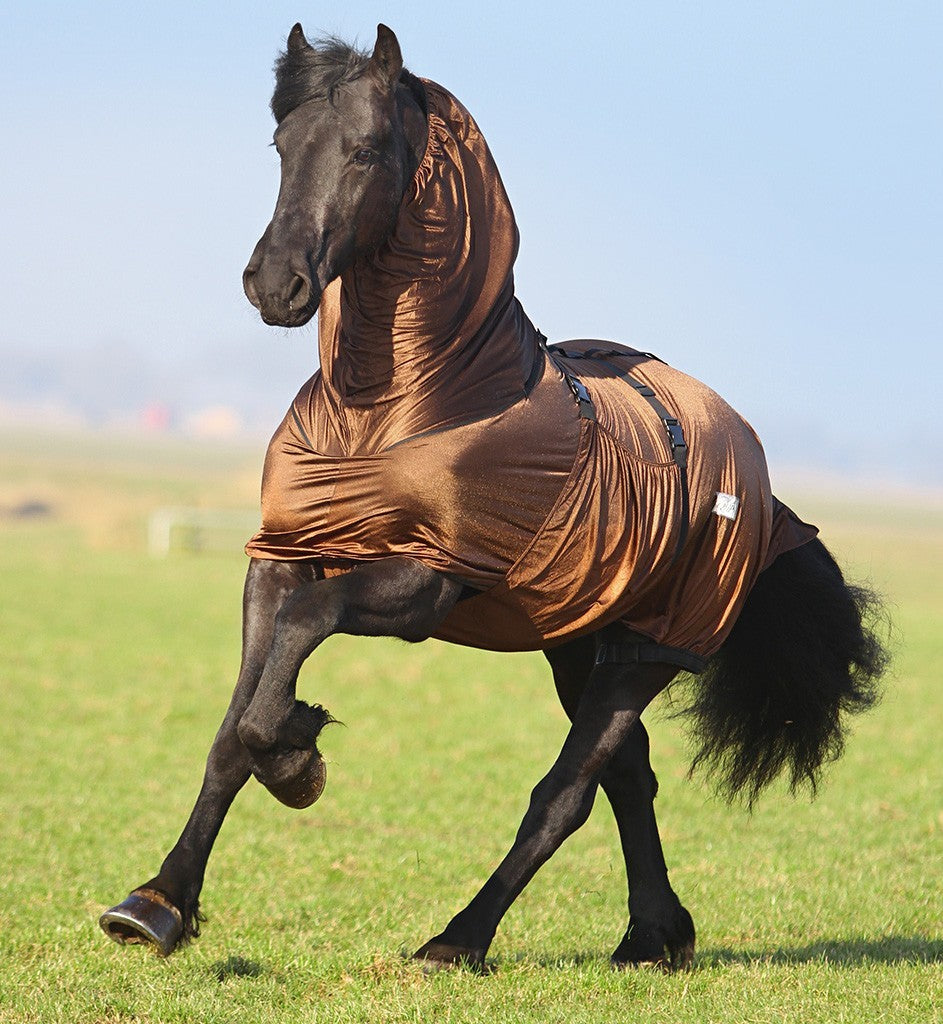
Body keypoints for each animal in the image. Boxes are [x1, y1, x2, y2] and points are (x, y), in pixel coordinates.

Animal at [99, 24, 887, 972]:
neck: (399, 407)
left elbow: (296, 649)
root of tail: (748, 459)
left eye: (366, 150)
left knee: (568, 791)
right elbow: (230, 730)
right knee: (628, 775)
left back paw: (460, 939)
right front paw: (156, 905)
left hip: (651, 650)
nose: (273, 285)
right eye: (281, 146)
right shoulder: (279, 560)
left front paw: (296, 757)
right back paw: (652, 936)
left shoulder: (428, 579)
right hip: (578, 643)